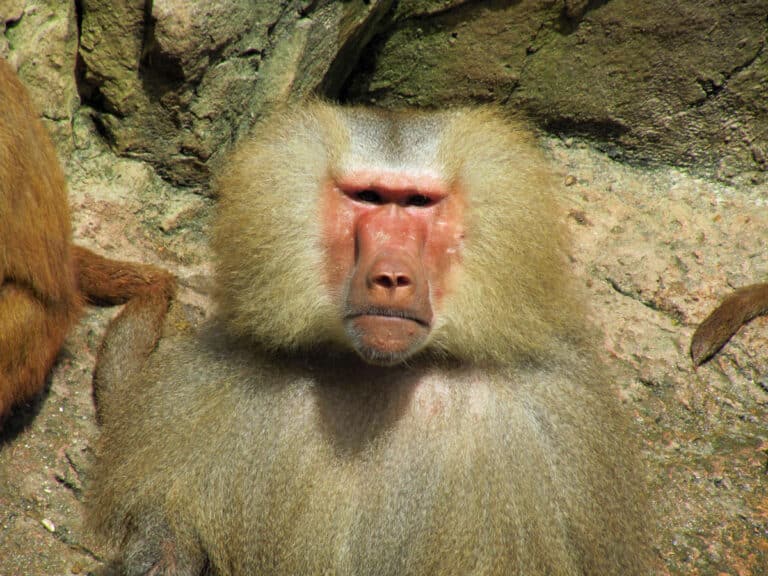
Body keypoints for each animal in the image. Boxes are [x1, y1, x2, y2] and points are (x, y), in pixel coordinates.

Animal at [87, 102, 652, 576]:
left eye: (419, 202)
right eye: (369, 197)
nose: (391, 277)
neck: (380, 372)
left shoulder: (552, 424)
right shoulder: (218, 388)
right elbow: (167, 542)